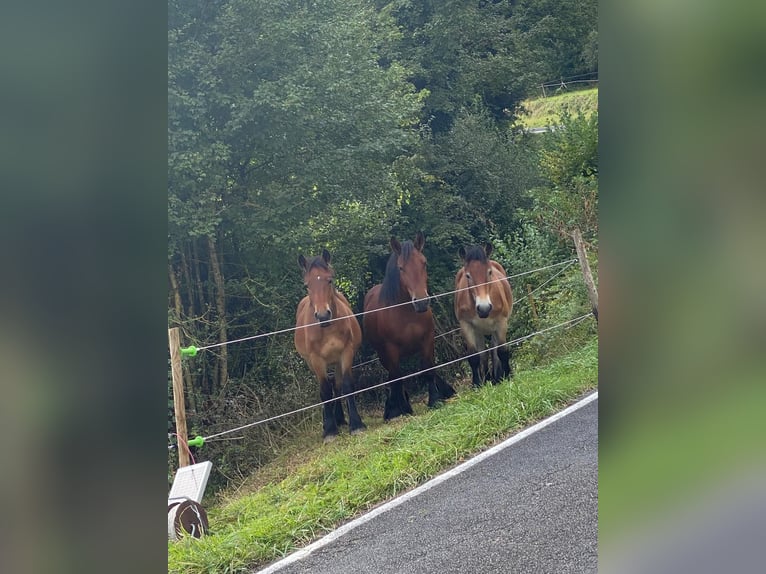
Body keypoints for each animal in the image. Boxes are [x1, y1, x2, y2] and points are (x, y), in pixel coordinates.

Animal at [294, 250, 366, 444]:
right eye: (307, 285)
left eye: (329, 280)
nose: (323, 315)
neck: (328, 328)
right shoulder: (317, 360)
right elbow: (325, 391)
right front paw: (330, 431)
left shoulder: (346, 353)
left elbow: (346, 386)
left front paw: (356, 425)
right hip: (313, 363)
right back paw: (330, 423)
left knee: (338, 385)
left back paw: (340, 419)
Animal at [362, 232, 452, 420]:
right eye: (401, 268)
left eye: (424, 263)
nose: (421, 302)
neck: (406, 313)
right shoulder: (391, 350)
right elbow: (397, 376)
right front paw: (400, 409)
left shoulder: (427, 340)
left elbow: (428, 368)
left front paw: (435, 399)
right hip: (383, 355)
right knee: (393, 377)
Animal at [456, 243, 516, 388]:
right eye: (467, 276)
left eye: (489, 272)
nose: (484, 308)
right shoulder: (466, 325)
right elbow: (474, 356)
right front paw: (477, 384)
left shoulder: (501, 322)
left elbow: (502, 351)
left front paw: (507, 375)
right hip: (479, 331)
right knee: (483, 354)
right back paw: (489, 378)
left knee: (494, 350)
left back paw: (497, 376)